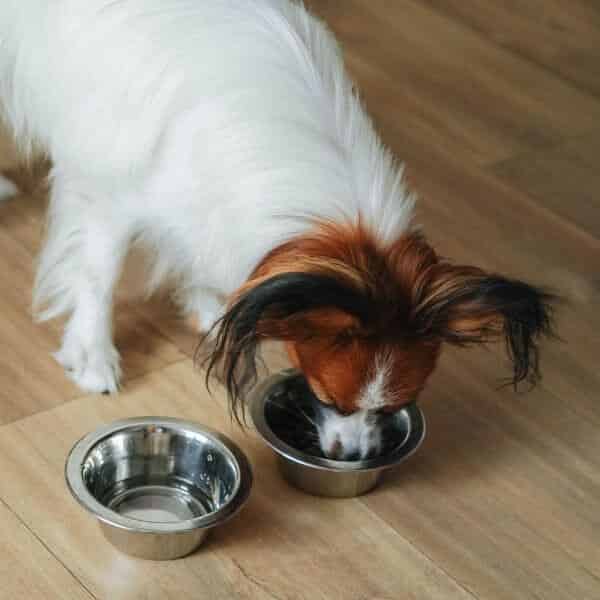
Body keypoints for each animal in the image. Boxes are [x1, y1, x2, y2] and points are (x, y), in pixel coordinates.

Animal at [0, 0, 552, 460]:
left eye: (393, 408)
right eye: (329, 398)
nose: (354, 457)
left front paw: (212, 308)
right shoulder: (110, 193)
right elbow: (99, 277)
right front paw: (94, 358)